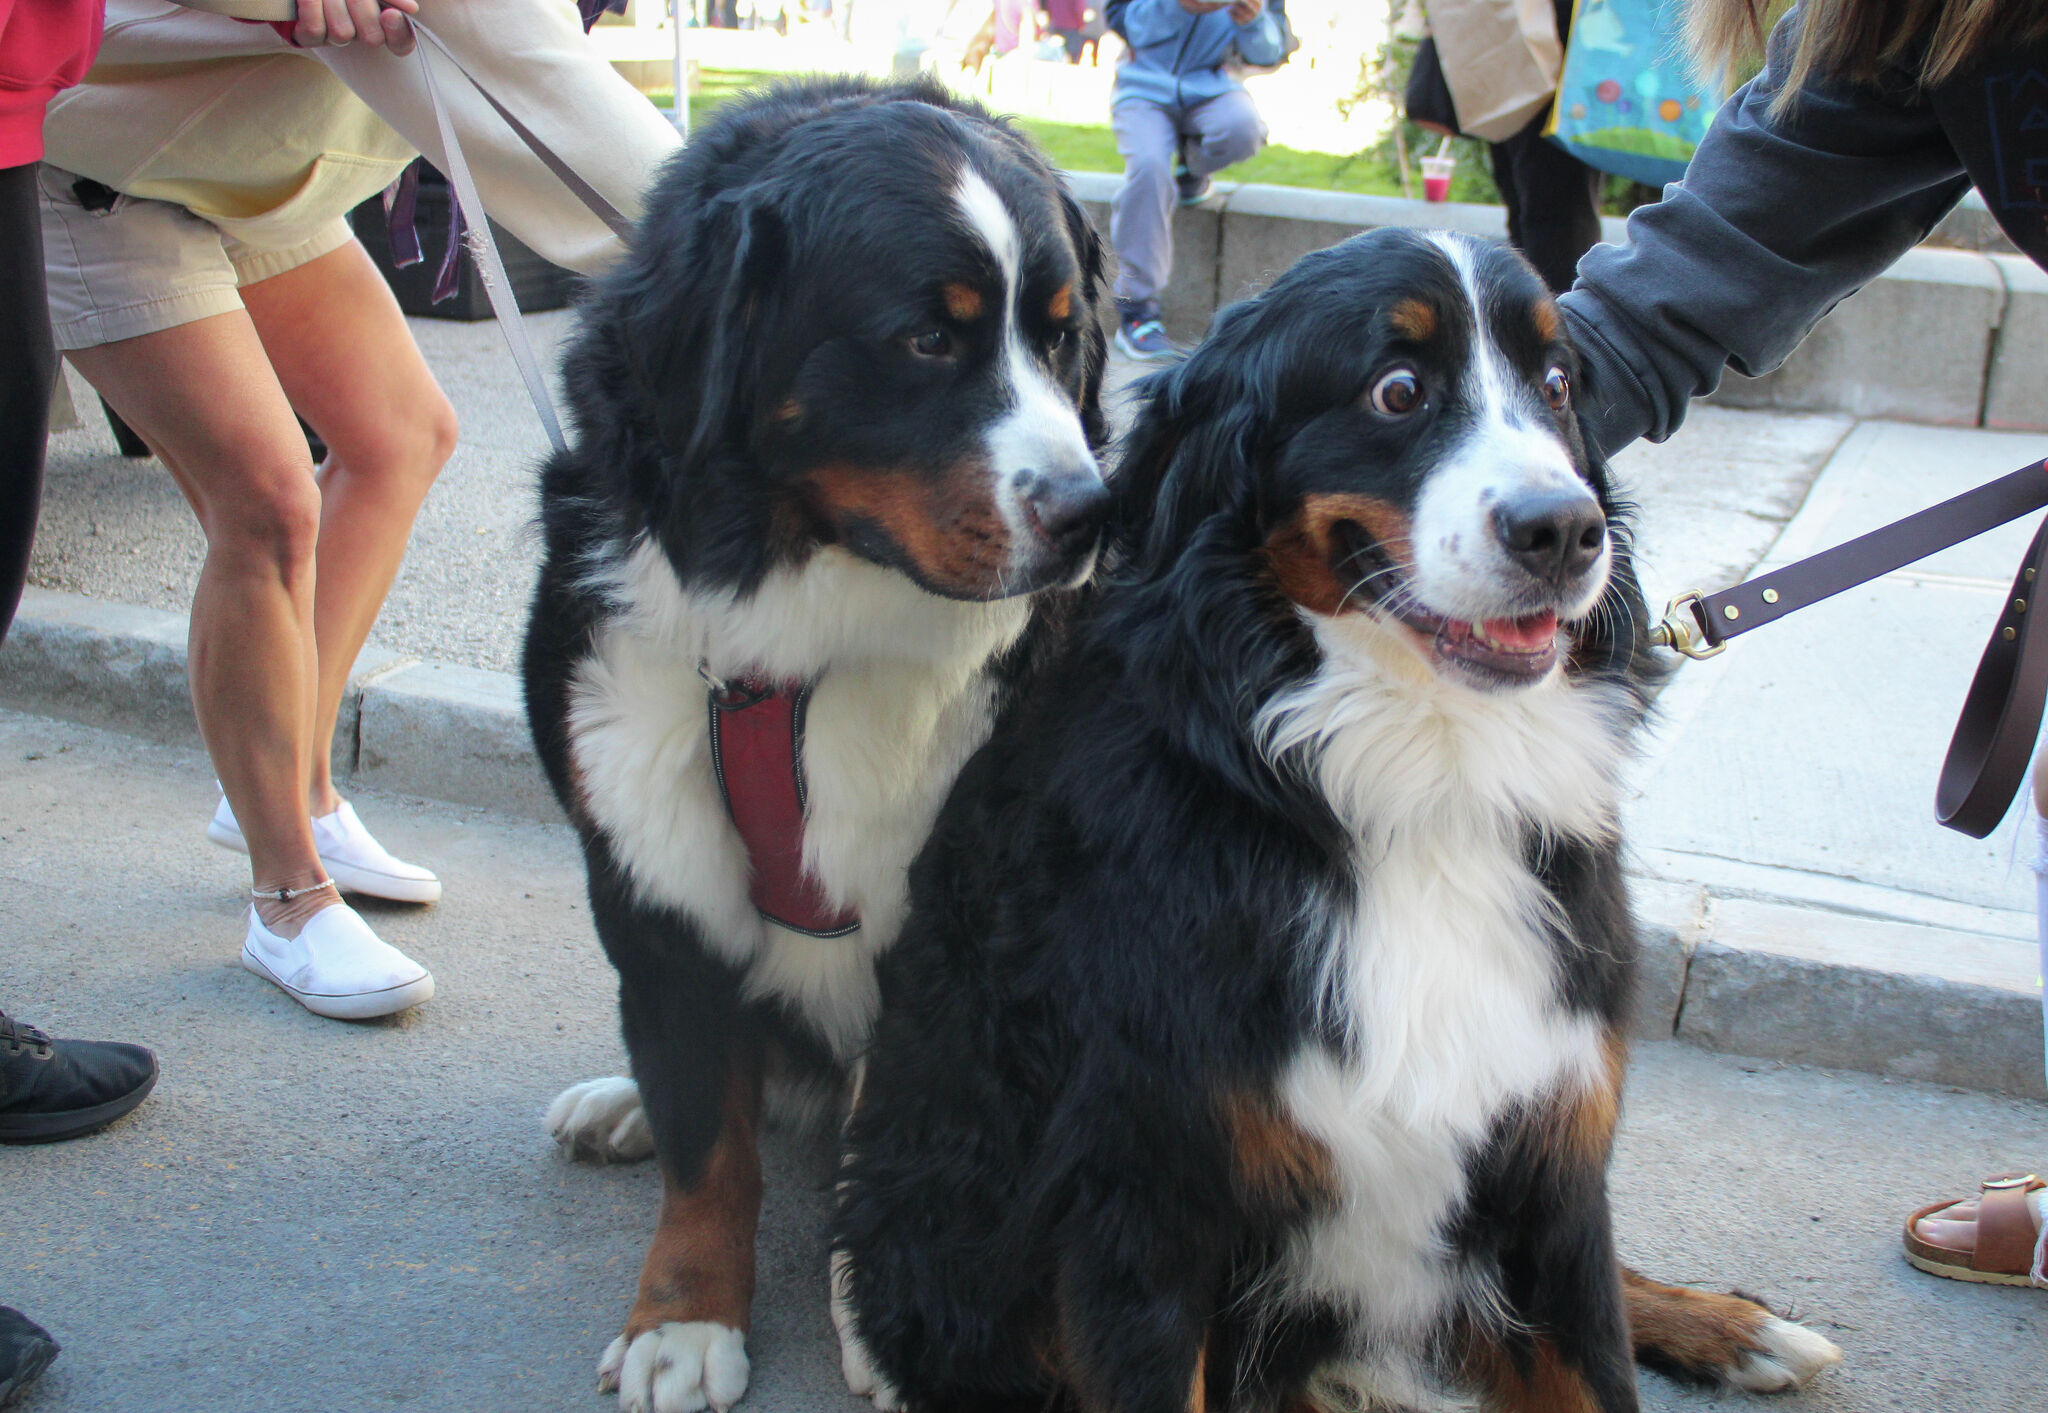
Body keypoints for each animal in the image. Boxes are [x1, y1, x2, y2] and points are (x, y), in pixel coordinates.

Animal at [520, 76, 1114, 1408]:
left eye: (1060, 338)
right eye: (927, 339)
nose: (1090, 513)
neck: (789, 648)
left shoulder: (947, 916)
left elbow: (883, 1142)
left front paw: (890, 1329)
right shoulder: (651, 872)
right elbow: (705, 1133)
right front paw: (684, 1318)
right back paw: (616, 1105)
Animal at [823, 225, 1851, 1400]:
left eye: (1555, 385)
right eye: (1396, 390)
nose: (1564, 530)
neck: (1420, 782)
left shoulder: (1551, 1150)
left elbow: (1597, 1361)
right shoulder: (1145, 1202)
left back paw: (1740, 1328)